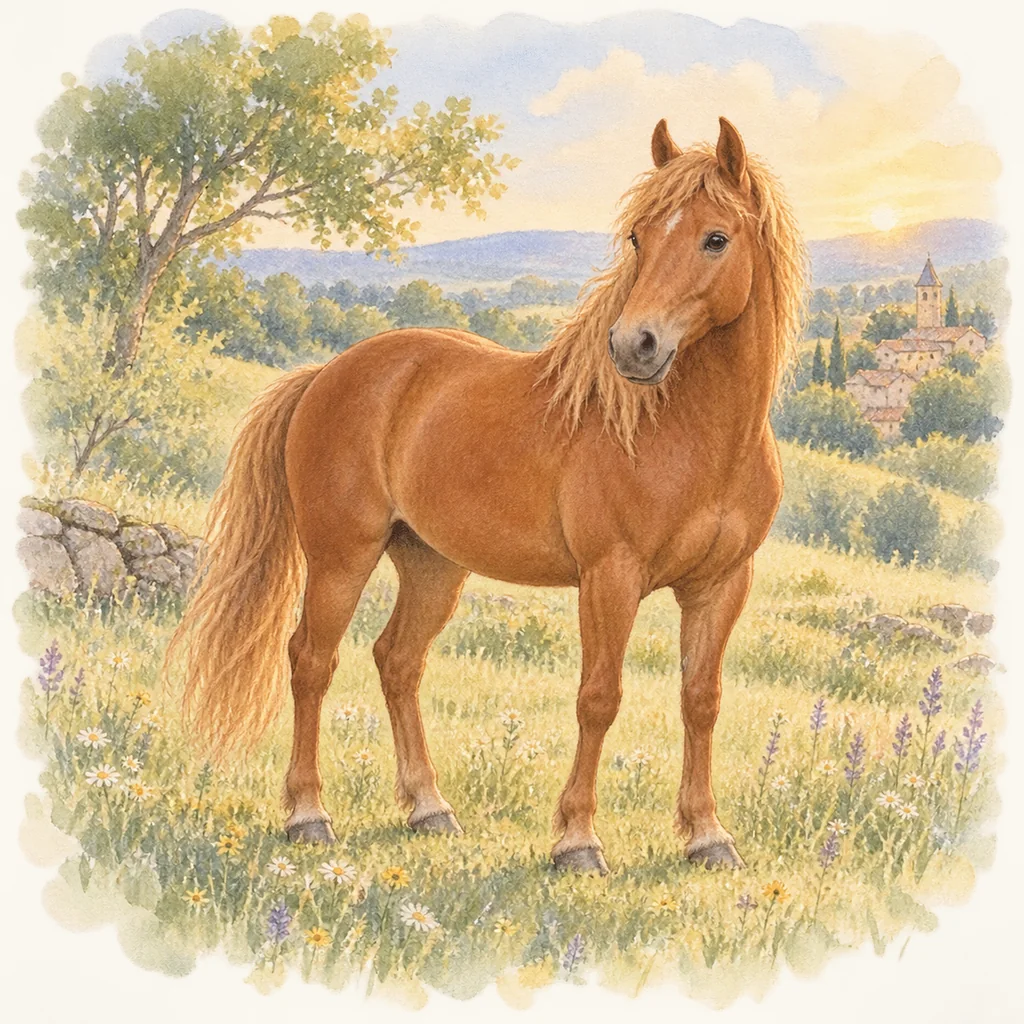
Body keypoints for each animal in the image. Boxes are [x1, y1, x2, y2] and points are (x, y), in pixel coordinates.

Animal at [170, 117, 806, 874]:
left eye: (716, 238)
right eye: (639, 239)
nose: (635, 346)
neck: (689, 434)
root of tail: (327, 373)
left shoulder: (721, 585)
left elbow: (701, 700)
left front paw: (708, 836)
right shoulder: (610, 577)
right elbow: (599, 698)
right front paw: (577, 841)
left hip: (432, 565)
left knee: (398, 662)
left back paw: (429, 808)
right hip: (340, 557)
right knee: (310, 662)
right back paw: (308, 816)